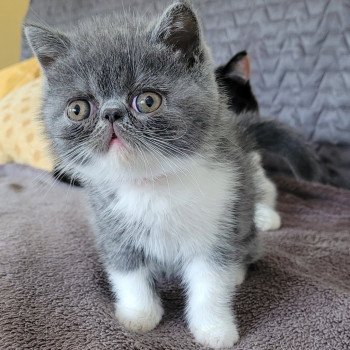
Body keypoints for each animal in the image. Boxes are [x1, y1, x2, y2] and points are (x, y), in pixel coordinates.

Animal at [26, 2, 280, 348]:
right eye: (78, 109)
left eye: (147, 101)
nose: (111, 113)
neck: (152, 182)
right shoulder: (110, 226)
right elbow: (128, 273)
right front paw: (139, 316)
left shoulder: (220, 215)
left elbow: (211, 281)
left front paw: (214, 328)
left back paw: (238, 272)